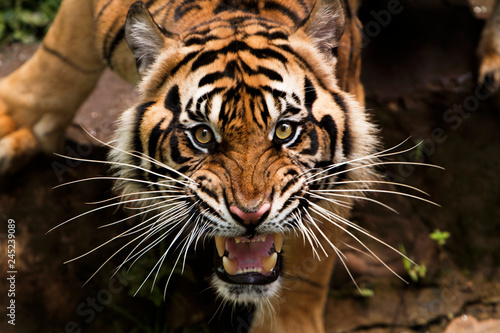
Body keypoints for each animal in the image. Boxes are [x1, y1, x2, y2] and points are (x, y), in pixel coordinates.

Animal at [0, 0, 446, 330]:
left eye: (284, 130)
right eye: (202, 135)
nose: (250, 215)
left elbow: (309, 262)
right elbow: (62, 56)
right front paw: (13, 124)